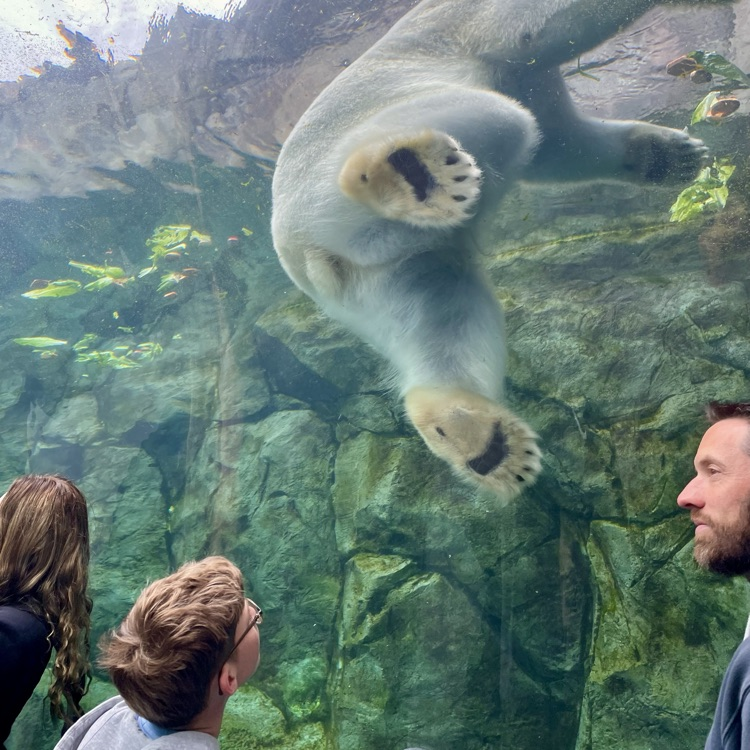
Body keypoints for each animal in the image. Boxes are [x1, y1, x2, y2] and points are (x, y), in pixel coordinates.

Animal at [271, 0, 731, 500]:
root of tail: (309, 256)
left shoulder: (532, 86)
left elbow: (560, 144)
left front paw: (671, 154)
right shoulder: (474, 26)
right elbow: (537, 35)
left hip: (391, 275)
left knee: (444, 317)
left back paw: (482, 442)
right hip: (345, 156)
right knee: (494, 117)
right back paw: (409, 171)